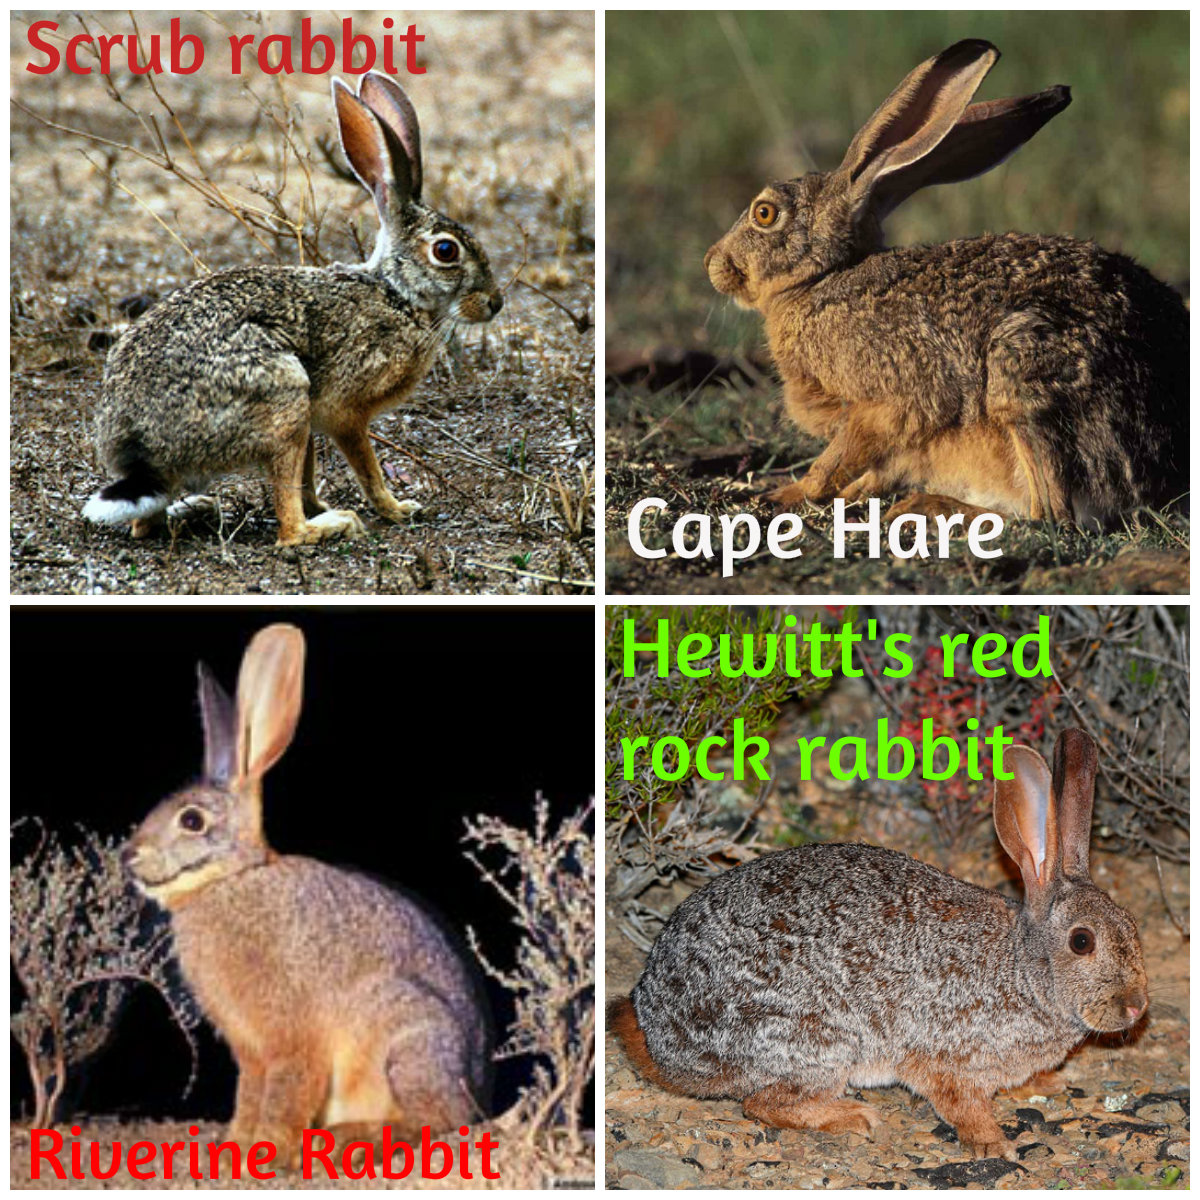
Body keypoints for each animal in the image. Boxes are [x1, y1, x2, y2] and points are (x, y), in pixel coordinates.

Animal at [84, 71, 503, 546]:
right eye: (446, 251)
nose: (495, 303)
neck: (398, 294)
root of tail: (141, 450)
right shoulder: (344, 413)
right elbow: (365, 467)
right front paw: (396, 508)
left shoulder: (315, 424)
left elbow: (309, 474)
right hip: (283, 400)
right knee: (287, 529)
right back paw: (331, 525)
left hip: (292, 414)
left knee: (146, 526)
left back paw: (198, 510)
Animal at [122, 624, 490, 1166]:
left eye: (191, 820)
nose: (128, 855)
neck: (231, 880)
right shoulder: (250, 1053)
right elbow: (250, 1094)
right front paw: (235, 1147)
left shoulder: (292, 1040)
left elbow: (286, 1093)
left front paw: (270, 1152)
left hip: (408, 1040)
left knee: (438, 1121)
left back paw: (349, 1140)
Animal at [611, 728, 1148, 1161]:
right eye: (1082, 942)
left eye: (1132, 924)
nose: (1136, 1007)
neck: (1022, 970)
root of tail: (664, 1044)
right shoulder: (944, 1055)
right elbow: (961, 1105)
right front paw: (993, 1142)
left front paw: (1048, 1084)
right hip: (815, 1041)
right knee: (761, 1102)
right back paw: (851, 1116)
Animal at [704, 39, 1188, 530]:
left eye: (765, 213)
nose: (712, 263)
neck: (825, 279)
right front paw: (848, 493)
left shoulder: (892, 400)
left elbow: (840, 456)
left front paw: (787, 493)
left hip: (1023, 372)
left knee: (1050, 515)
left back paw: (928, 506)